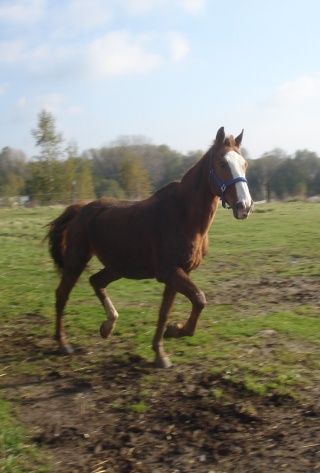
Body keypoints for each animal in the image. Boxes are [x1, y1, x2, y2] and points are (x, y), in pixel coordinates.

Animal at [47, 126, 252, 368]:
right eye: (222, 163)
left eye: (244, 164)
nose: (245, 206)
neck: (183, 215)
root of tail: (80, 209)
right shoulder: (169, 272)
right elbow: (199, 299)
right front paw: (175, 331)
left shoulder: (179, 272)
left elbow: (166, 311)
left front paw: (161, 350)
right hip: (76, 260)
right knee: (62, 295)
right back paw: (63, 343)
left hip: (118, 266)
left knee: (96, 281)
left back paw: (108, 326)